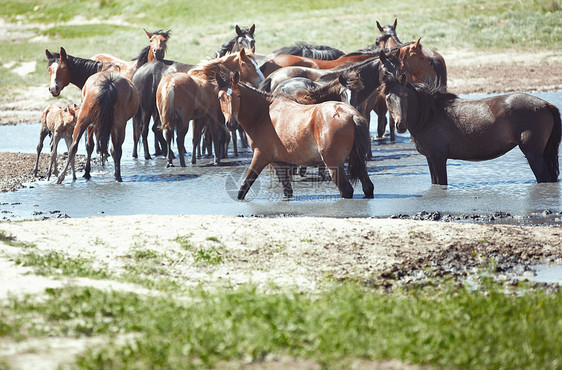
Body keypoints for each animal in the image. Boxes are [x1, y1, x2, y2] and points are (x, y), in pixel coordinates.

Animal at [213, 71, 372, 201]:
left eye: (238, 95)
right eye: (221, 98)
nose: (231, 123)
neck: (264, 114)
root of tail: (351, 115)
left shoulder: (260, 156)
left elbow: (244, 187)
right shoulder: (278, 161)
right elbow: (287, 190)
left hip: (334, 165)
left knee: (346, 190)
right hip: (358, 161)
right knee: (368, 187)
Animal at [378, 73, 556, 185]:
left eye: (406, 96)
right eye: (388, 98)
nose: (400, 125)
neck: (429, 116)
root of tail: (546, 104)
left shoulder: (438, 158)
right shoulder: (430, 158)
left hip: (533, 154)